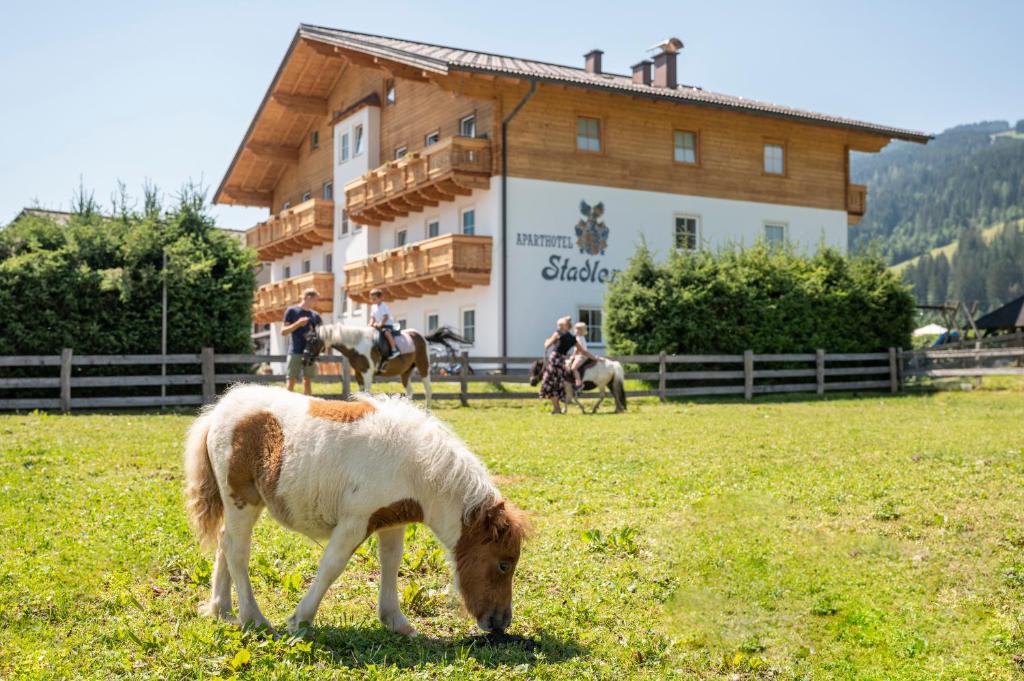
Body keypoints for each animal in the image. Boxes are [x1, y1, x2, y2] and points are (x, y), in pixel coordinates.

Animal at [184, 385, 532, 634]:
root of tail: (217, 412)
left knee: (225, 543)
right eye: (504, 564)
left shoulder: (392, 521)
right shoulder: (355, 522)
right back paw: (253, 619)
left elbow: (391, 563)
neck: (416, 468)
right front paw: (300, 620)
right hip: (241, 500)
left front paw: (396, 621)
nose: (500, 623)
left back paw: (221, 609)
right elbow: (332, 566)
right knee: (237, 550)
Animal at [303, 321, 464, 405]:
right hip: (405, 372)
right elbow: (361, 394)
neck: (357, 345)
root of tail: (421, 336)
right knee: (410, 392)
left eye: (312, 340)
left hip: (424, 367)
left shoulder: (367, 374)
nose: (305, 358)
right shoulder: (359, 374)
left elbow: (367, 394)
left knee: (428, 390)